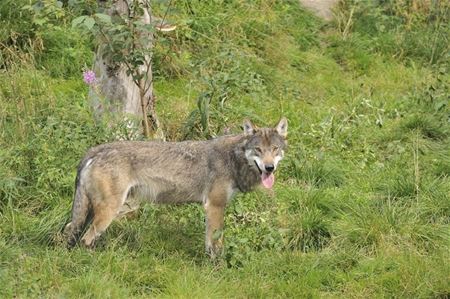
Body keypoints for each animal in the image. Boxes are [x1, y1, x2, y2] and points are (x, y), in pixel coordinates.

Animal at [64, 118, 288, 258]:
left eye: (275, 149)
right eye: (258, 150)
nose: (269, 167)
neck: (233, 158)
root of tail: (95, 150)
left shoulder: (212, 209)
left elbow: (209, 243)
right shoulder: (215, 207)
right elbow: (216, 244)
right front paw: (218, 267)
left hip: (93, 212)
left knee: (71, 231)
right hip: (108, 212)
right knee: (86, 239)